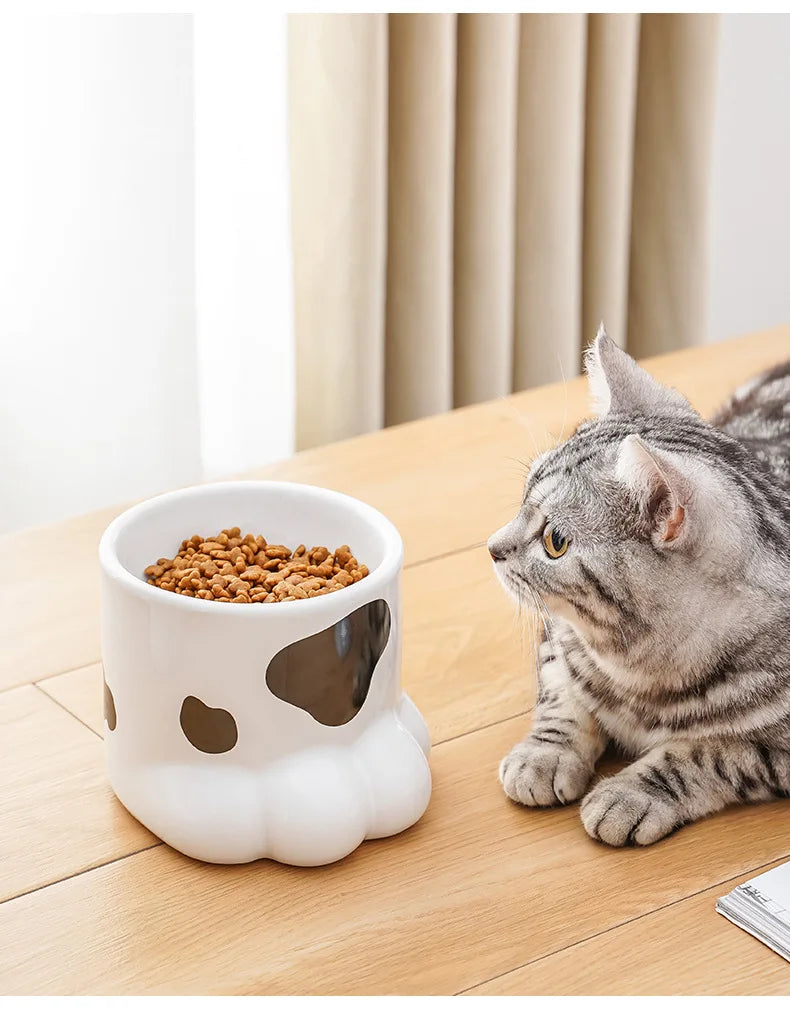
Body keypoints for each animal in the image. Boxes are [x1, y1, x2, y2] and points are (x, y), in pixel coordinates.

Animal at [489, 329, 790, 843]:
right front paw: (543, 754)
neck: (639, 674)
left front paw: (630, 794)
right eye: (524, 496)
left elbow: (708, 754)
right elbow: (562, 693)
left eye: (555, 542)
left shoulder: (777, 753)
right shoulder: (559, 637)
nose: (491, 548)